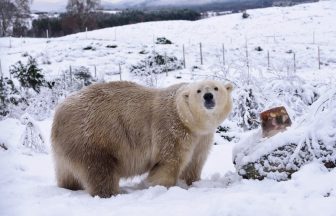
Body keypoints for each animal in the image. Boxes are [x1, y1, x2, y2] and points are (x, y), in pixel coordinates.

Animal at [50, 79, 234, 197]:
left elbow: (195, 162)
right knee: (99, 169)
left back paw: (70, 187)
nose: (208, 96)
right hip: (93, 137)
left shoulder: (202, 137)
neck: (189, 121)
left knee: (67, 172)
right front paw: (161, 186)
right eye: (198, 90)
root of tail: (58, 113)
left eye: (216, 88)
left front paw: (192, 182)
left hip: (68, 145)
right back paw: (112, 192)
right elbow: (169, 162)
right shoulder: (171, 129)